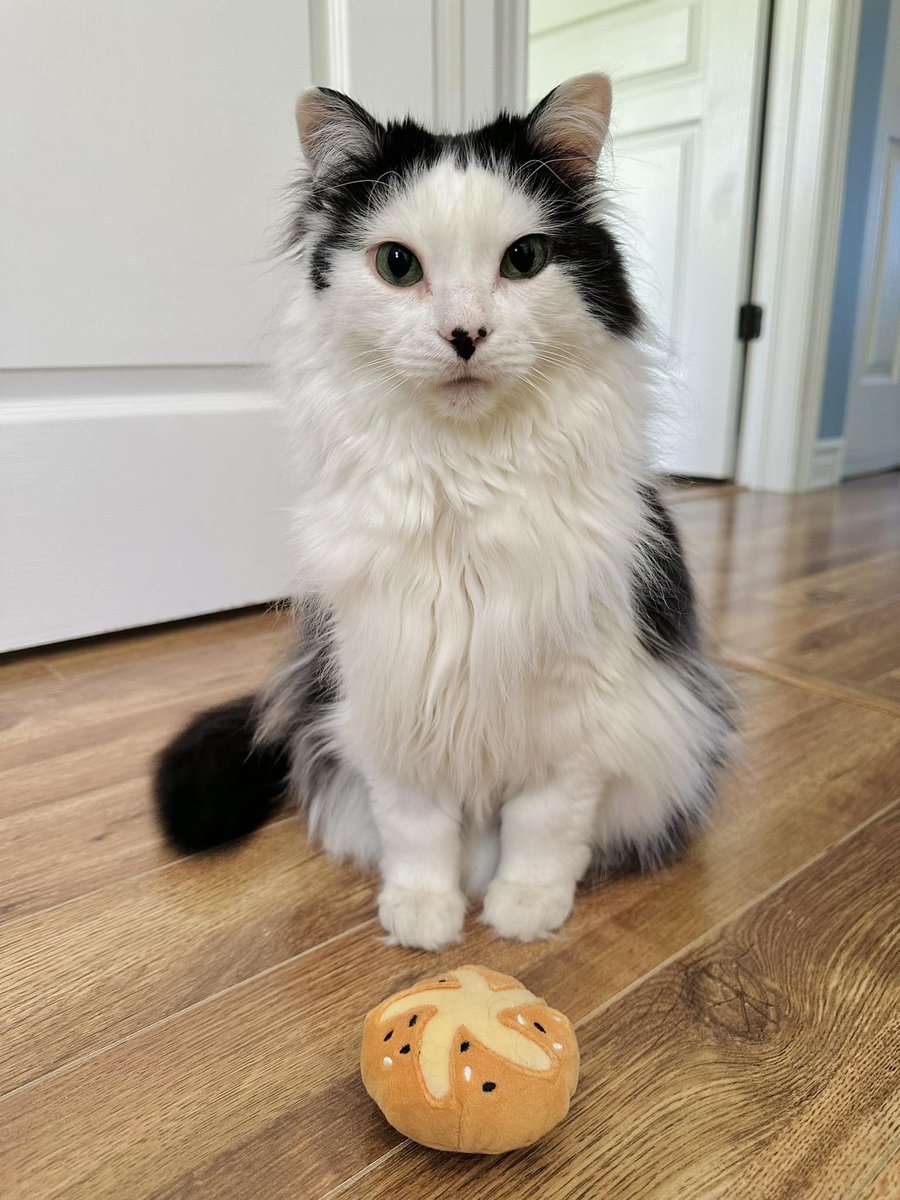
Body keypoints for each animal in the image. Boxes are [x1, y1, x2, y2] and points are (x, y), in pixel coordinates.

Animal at [153, 77, 734, 945]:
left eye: (524, 260)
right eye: (398, 265)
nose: (466, 333)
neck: (464, 481)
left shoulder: (577, 712)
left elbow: (543, 823)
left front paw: (524, 909)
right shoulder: (390, 688)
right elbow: (415, 825)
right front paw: (423, 915)